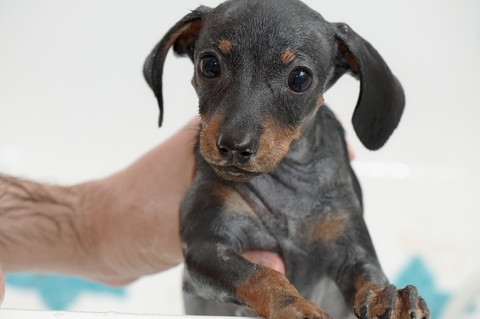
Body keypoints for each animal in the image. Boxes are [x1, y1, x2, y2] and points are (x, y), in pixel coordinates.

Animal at [143, 0, 432, 319]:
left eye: (299, 78)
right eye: (209, 65)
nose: (233, 147)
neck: (287, 185)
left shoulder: (351, 246)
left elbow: (370, 273)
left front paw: (388, 298)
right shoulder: (204, 249)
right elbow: (258, 274)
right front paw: (293, 304)